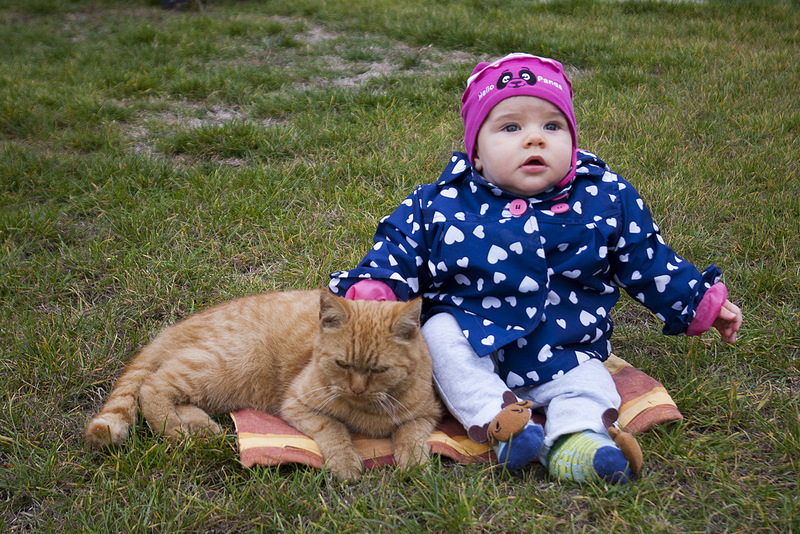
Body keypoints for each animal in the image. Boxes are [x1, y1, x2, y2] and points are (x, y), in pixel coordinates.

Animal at [84, 292, 440, 484]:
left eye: (380, 370)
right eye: (342, 364)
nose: (356, 389)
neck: (366, 411)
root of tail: (176, 325)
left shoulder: (428, 414)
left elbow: (410, 433)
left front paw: (414, 463)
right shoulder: (297, 404)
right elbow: (334, 428)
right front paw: (345, 463)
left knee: (173, 392)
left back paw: (201, 428)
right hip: (226, 365)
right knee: (153, 385)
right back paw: (173, 430)